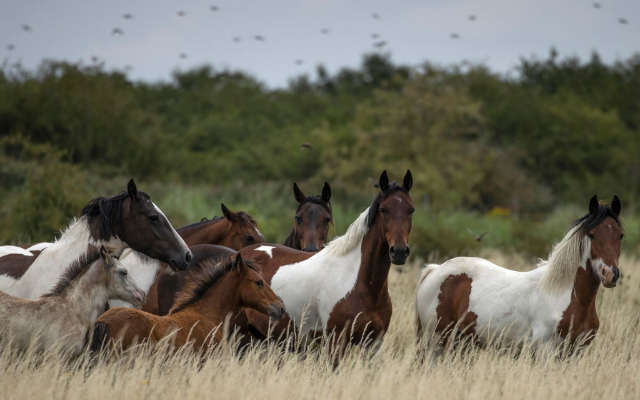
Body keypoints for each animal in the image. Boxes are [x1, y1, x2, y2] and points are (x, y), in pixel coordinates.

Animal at [415, 195, 624, 353]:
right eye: (592, 235)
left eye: (621, 235)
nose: (609, 274)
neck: (568, 296)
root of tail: (435, 270)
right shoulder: (545, 351)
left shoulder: (575, 353)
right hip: (436, 341)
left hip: (461, 343)